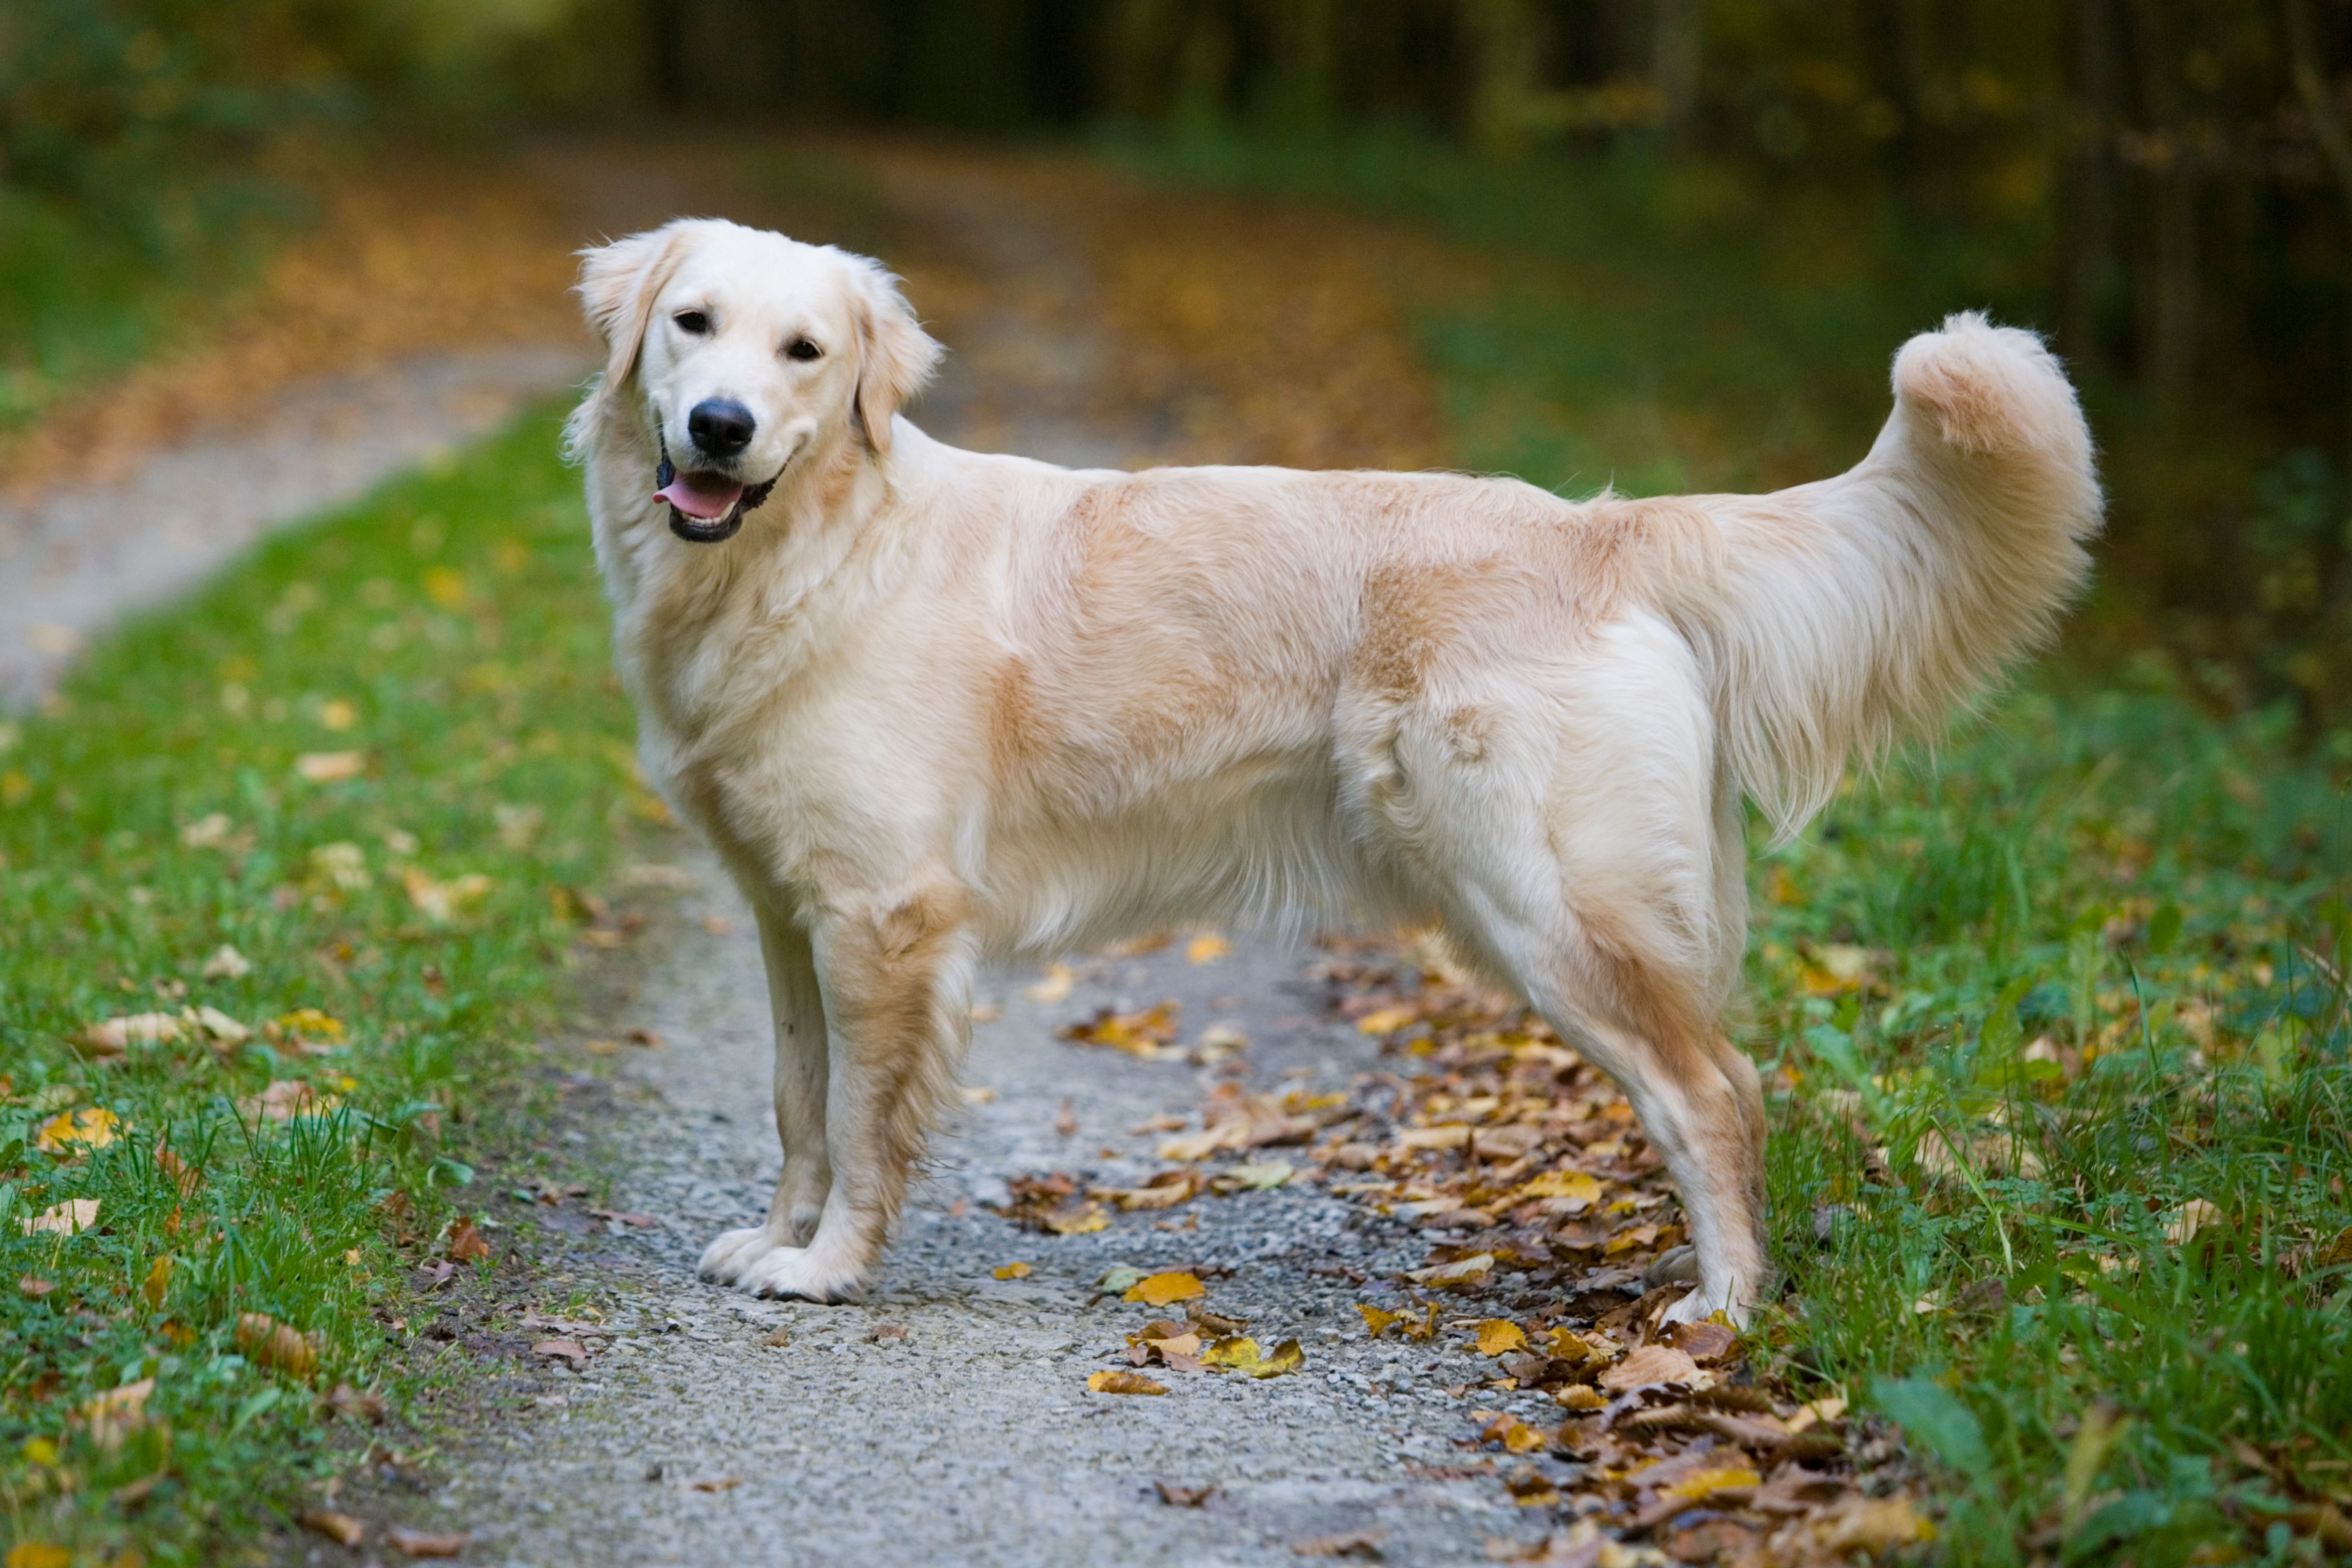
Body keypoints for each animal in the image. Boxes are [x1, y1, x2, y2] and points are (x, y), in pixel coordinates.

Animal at [564, 217, 2098, 1326]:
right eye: (693, 326)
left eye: (805, 352)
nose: (717, 426)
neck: (813, 549)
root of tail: (1603, 528)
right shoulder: (788, 913)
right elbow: (797, 1101)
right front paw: (775, 1237)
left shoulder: (886, 916)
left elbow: (864, 1119)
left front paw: (829, 1268)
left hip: (1549, 906)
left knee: (1711, 1092)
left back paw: (1720, 1313)